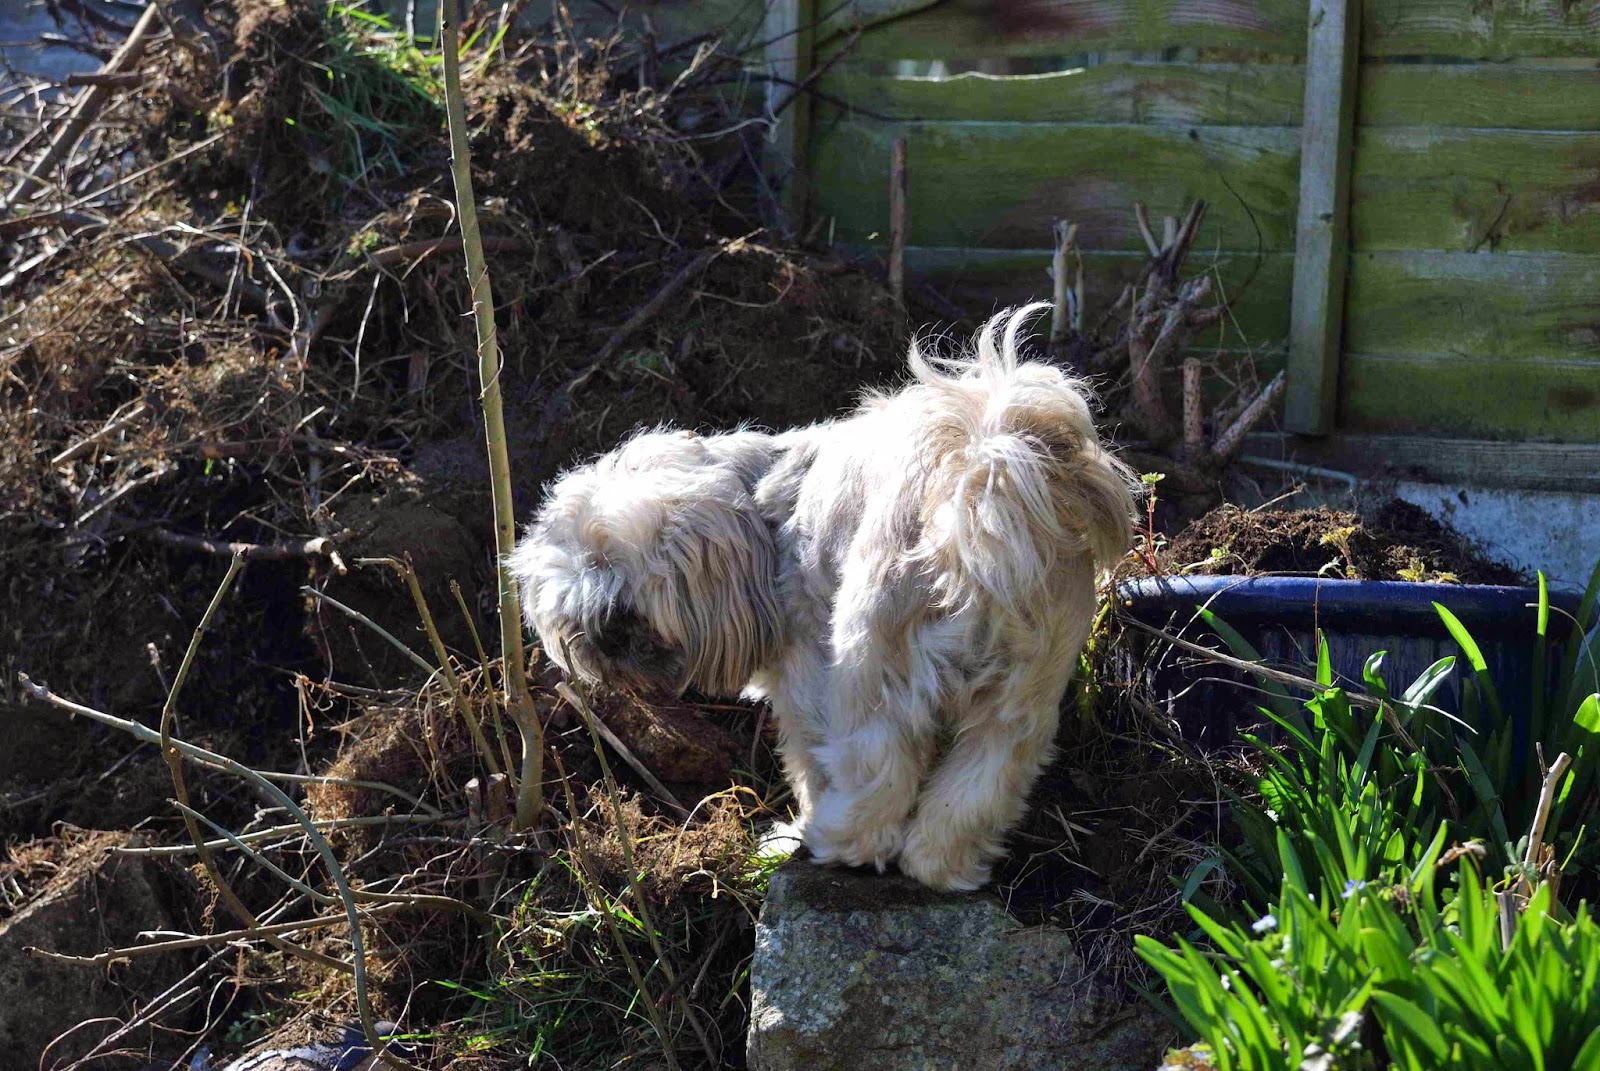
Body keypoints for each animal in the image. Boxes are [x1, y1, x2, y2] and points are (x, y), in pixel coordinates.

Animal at [509, 303, 1136, 890]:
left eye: (606, 558)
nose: (602, 632)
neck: (762, 517)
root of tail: (974, 487)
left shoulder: (803, 681)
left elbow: (810, 763)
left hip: (869, 667)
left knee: (878, 782)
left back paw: (825, 839)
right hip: (1022, 693)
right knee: (980, 782)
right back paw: (941, 867)